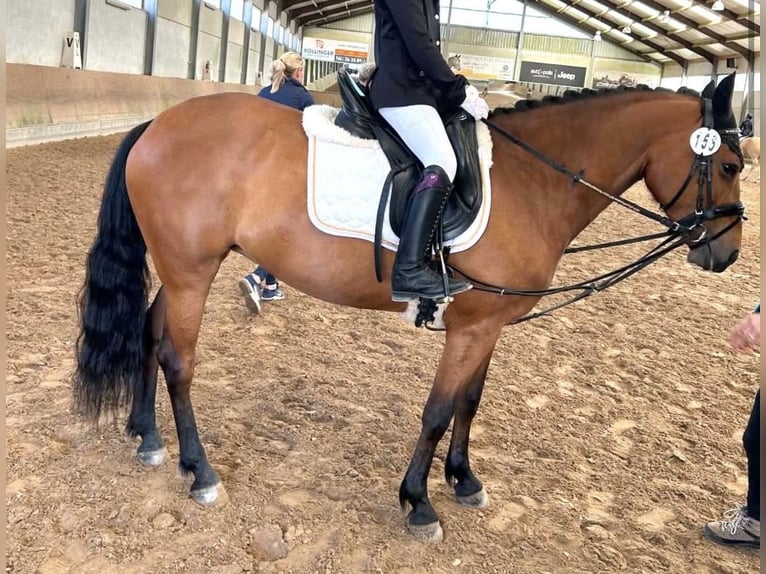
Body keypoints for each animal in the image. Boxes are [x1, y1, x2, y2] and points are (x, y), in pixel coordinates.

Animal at [74, 73, 746, 542]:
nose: (727, 253)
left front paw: (464, 481)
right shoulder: (470, 328)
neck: (533, 181)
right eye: (731, 164)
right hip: (192, 271)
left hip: (185, 268)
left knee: (148, 332)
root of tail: (158, 124)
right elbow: (438, 410)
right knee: (178, 359)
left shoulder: (488, 323)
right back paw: (200, 471)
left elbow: (470, 401)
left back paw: (146, 435)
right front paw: (419, 504)